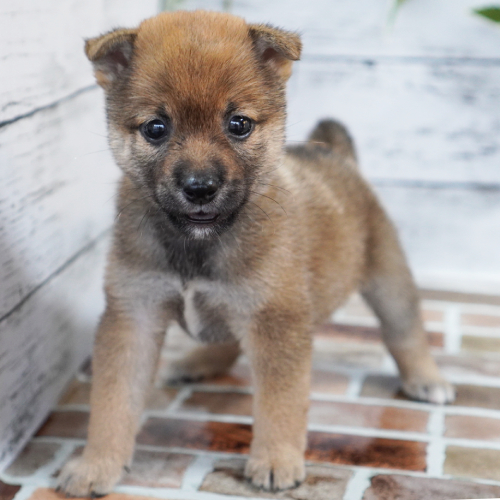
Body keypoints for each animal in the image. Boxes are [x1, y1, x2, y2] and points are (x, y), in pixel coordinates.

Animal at [56, 10, 456, 496]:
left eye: (239, 124)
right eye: (156, 128)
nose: (200, 187)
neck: (198, 245)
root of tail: (339, 157)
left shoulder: (275, 322)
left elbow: (279, 404)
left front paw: (275, 459)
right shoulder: (134, 314)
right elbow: (113, 402)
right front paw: (97, 463)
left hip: (388, 279)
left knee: (406, 332)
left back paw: (426, 380)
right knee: (225, 342)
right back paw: (195, 363)